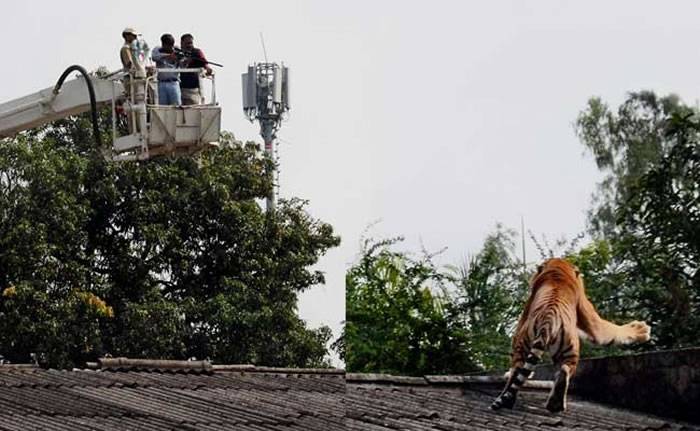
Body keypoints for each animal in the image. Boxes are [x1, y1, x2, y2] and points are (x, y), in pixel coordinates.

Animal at [492, 258, 652, 414]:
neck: (558, 270)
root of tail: (548, 321)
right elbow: (603, 330)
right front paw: (642, 330)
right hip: (569, 348)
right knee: (562, 370)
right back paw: (554, 404)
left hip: (532, 345)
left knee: (521, 370)